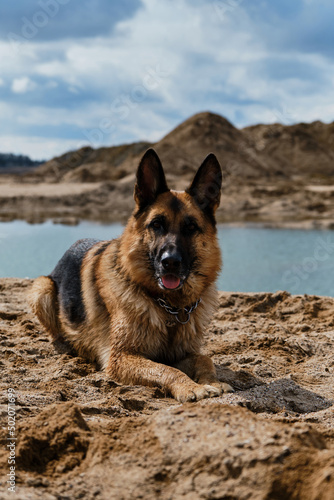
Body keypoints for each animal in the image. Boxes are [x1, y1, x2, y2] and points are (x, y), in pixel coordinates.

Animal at [30, 149, 232, 402]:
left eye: (191, 227)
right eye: (156, 224)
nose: (170, 262)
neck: (169, 306)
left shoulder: (180, 353)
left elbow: (204, 358)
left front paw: (213, 381)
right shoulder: (120, 358)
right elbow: (166, 370)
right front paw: (191, 387)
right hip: (41, 288)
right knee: (55, 331)